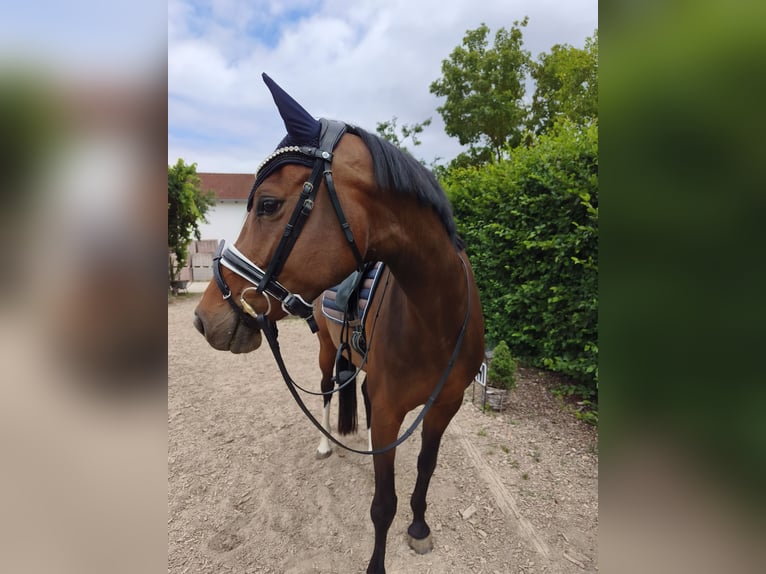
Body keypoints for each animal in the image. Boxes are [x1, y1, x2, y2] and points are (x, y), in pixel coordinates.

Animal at [193, 73, 485, 574]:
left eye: (267, 204)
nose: (203, 316)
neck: (438, 319)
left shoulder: (444, 406)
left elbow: (424, 468)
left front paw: (419, 528)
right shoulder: (390, 409)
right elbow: (382, 504)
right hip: (329, 350)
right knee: (329, 388)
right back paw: (327, 443)